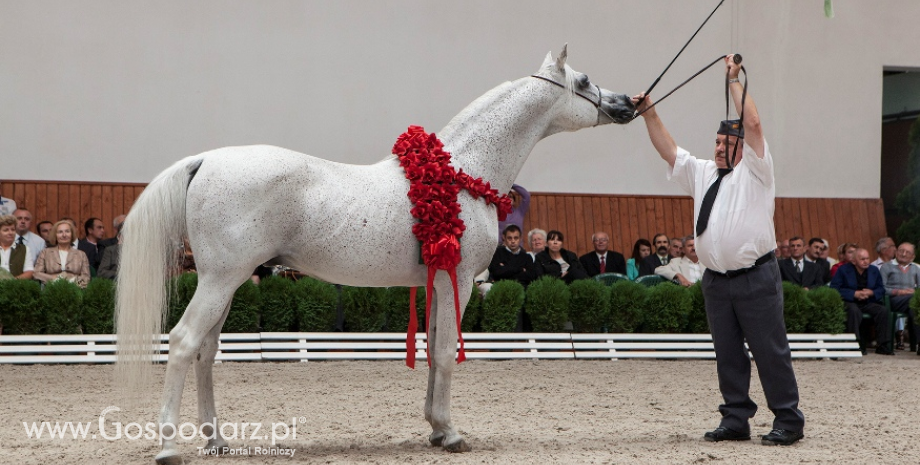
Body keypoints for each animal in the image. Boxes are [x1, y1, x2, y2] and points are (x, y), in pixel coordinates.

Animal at [115, 44, 636, 464]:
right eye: (584, 81)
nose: (627, 104)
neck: (462, 174)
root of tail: (205, 160)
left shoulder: (435, 281)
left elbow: (432, 348)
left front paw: (435, 428)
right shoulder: (459, 280)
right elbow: (445, 351)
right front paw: (451, 434)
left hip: (224, 283)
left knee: (205, 352)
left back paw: (217, 440)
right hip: (222, 279)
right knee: (183, 342)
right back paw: (169, 445)